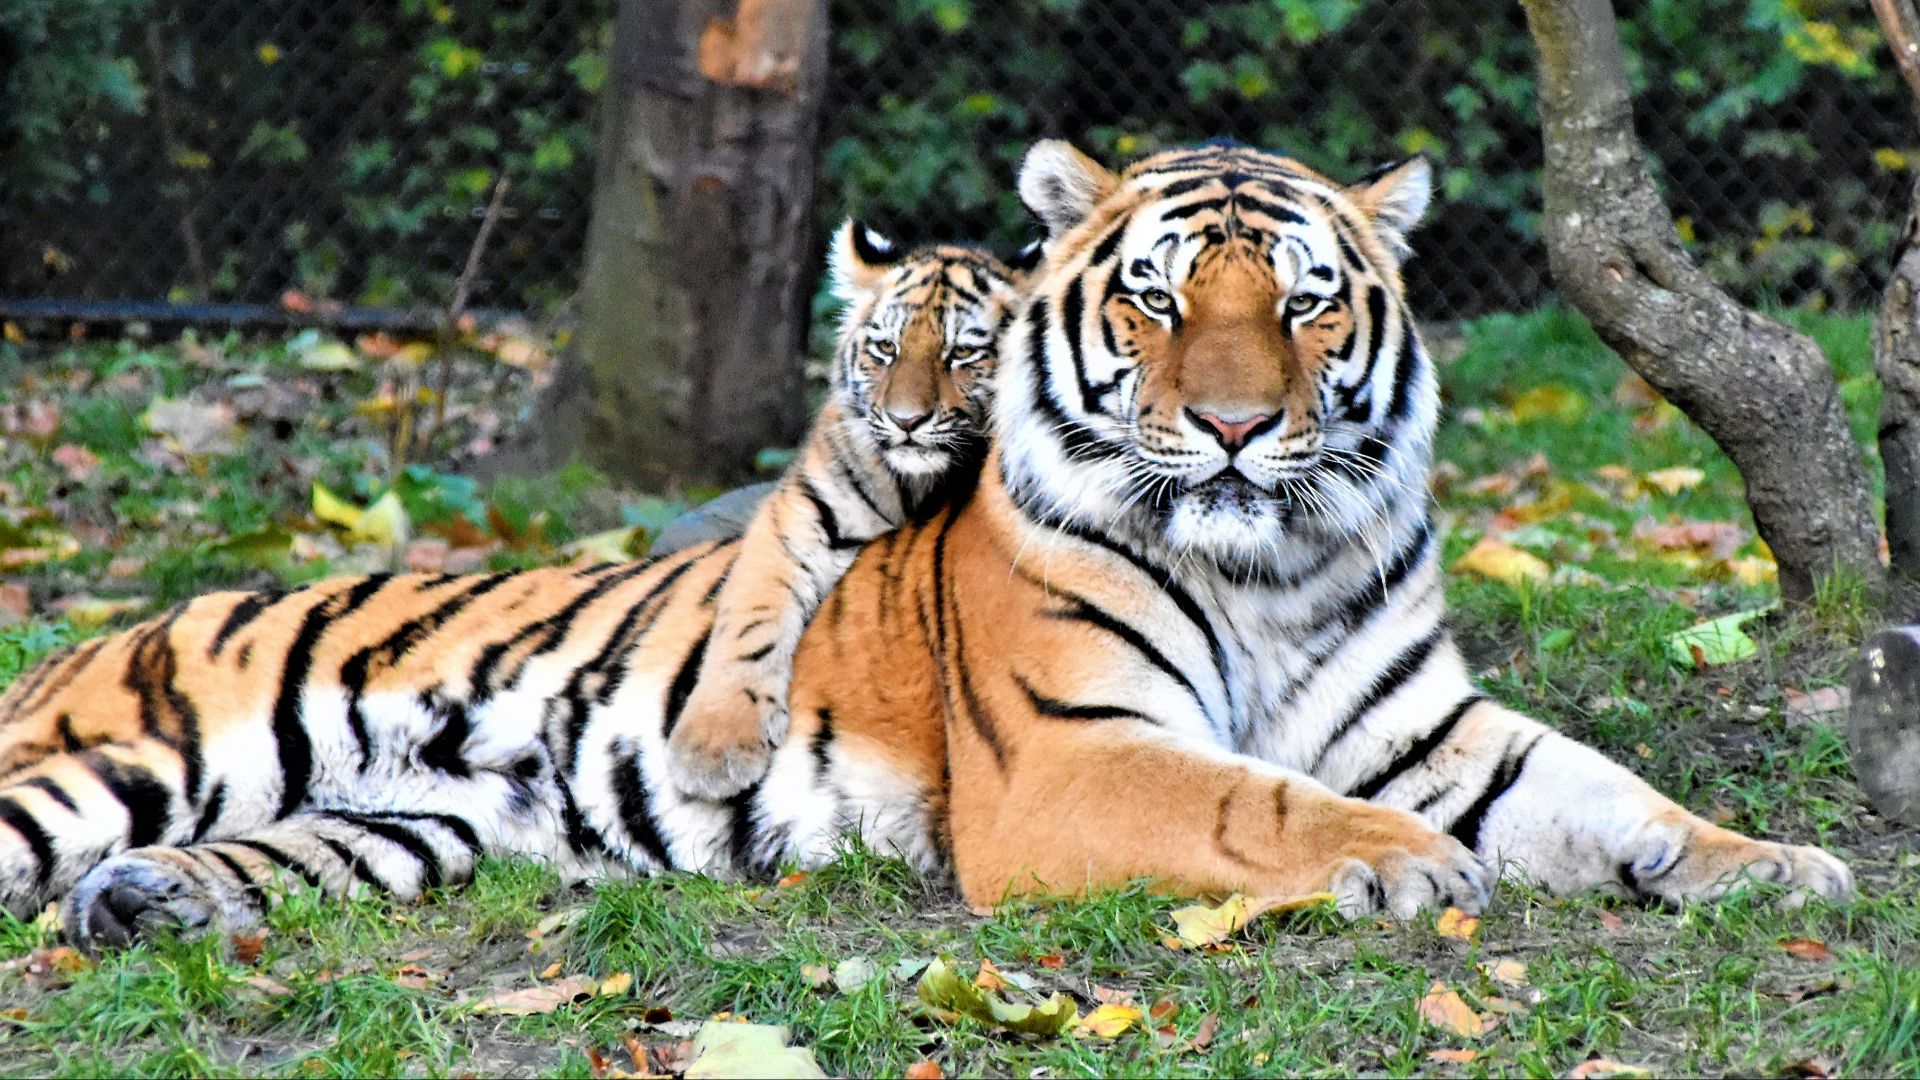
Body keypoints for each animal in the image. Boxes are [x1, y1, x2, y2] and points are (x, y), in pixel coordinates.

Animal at [662, 220, 1035, 799]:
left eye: (962, 354)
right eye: (885, 348)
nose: (907, 421)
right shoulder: (800, 514)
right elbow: (749, 618)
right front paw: (713, 747)